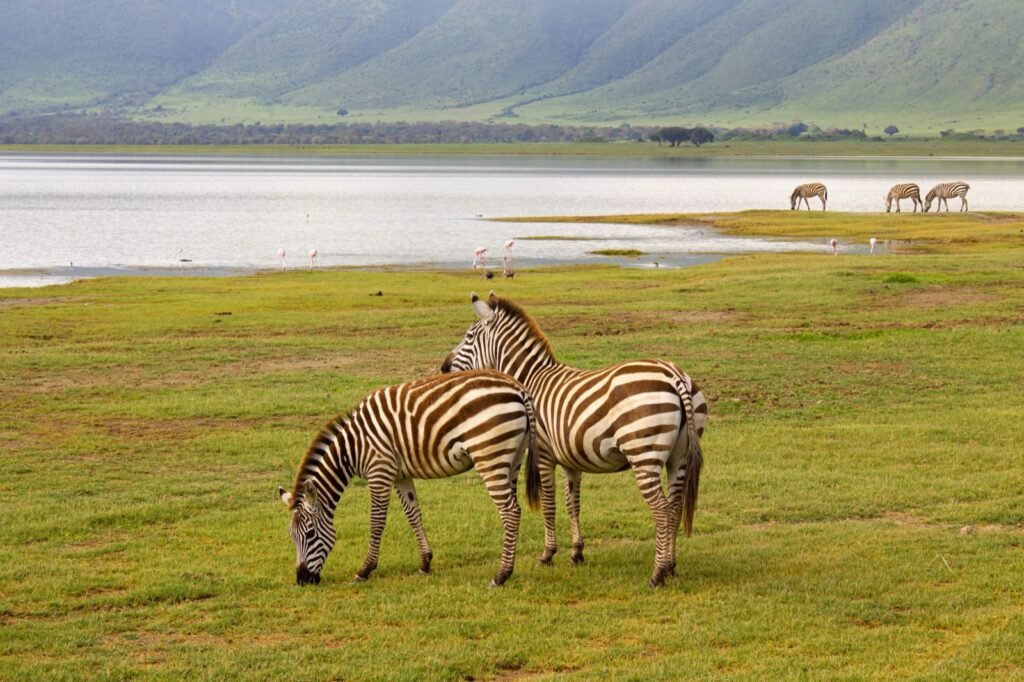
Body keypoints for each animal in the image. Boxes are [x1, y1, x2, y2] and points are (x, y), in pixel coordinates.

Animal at [277, 369, 539, 587]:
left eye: (310, 534)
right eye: (291, 536)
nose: (302, 580)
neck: (351, 447)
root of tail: (519, 389)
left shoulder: (379, 470)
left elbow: (377, 521)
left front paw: (364, 570)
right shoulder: (400, 475)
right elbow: (413, 515)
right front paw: (425, 562)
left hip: (489, 456)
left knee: (510, 511)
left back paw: (501, 576)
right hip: (513, 459)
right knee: (514, 509)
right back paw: (507, 569)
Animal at [441, 292, 707, 588]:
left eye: (468, 335)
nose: (443, 367)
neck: (531, 379)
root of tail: (675, 375)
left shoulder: (544, 454)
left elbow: (549, 504)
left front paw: (547, 555)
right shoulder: (572, 459)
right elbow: (573, 505)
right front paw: (577, 552)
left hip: (644, 454)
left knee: (661, 509)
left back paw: (657, 574)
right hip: (678, 457)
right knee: (674, 506)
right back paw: (670, 566)